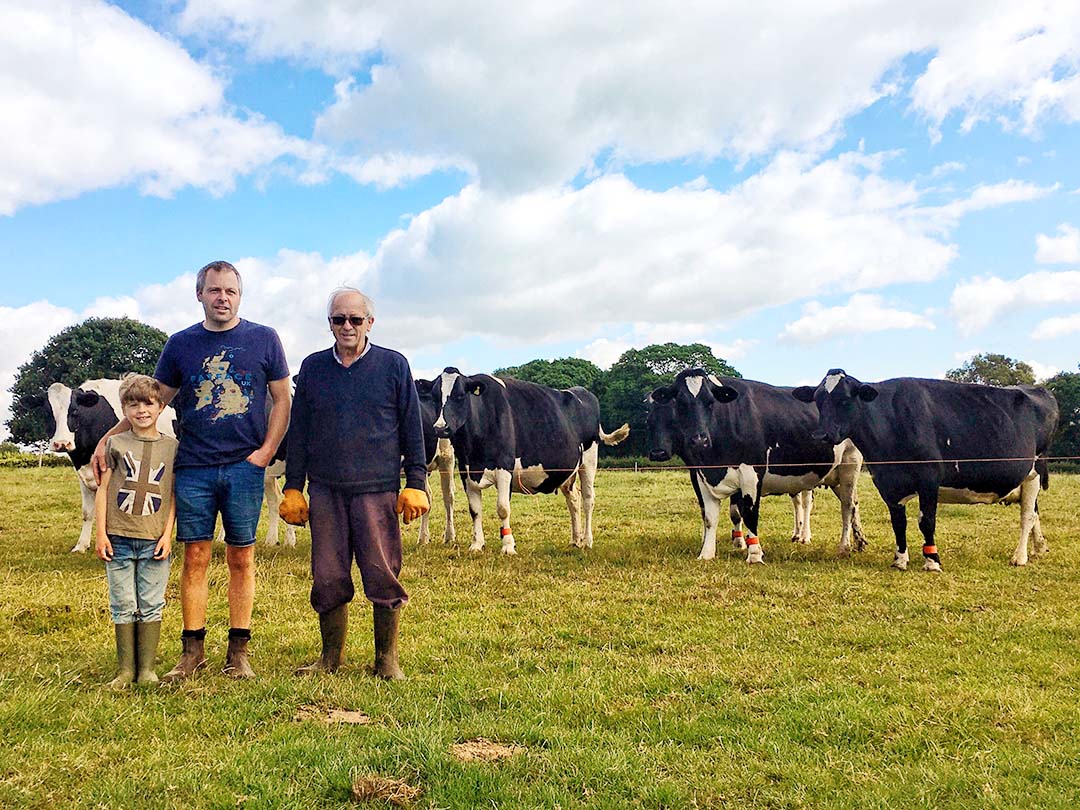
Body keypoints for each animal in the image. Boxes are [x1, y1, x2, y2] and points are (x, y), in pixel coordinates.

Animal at [432, 369, 630, 557]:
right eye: (434, 397)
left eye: (460, 395)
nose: (441, 428)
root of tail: (581, 391)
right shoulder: (466, 472)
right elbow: (475, 510)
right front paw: (476, 545)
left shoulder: (504, 468)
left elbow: (503, 508)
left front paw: (508, 546)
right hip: (568, 470)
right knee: (573, 499)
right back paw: (576, 540)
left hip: (589, 459)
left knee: (588, 498)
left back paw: (587, 541)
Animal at [643, 369, 864, 565]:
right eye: (681, 404)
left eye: (710, 402)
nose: (699, 439)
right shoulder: (701, 475)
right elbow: (709, 517)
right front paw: (706, 553)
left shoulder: (750, 473)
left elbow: (749, 513)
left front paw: (754, 553)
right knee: (852, 503)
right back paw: (859, 541)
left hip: (850, 465)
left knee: (846, 505)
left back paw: (842, 546)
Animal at [790, 373, 1058, 570]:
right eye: (818, 400)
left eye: (845, 400)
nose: (821, 434)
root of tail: (1037, 389)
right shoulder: (887, 482)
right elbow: (898, 522)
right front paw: (900, 560)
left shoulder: (929, 477)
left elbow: (926, 521)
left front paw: (932, 561)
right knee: (1034, 512)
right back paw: (1039, 547)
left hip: (1033, 472)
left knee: (1027, 515)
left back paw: (1019, 557)